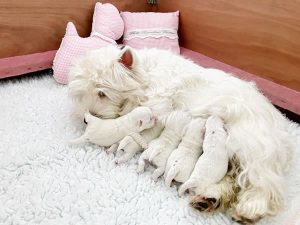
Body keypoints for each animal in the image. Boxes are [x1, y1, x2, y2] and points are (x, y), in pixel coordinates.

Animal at [68, 45, 292, 223]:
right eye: (82, 94)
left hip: (250, 144)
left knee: (262, 182)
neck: (146, 74)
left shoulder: (156, 104)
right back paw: (209, 199)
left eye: (102, 93)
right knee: (231, 179)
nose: (87, 117)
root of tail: (280, 125)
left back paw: (250, 208)